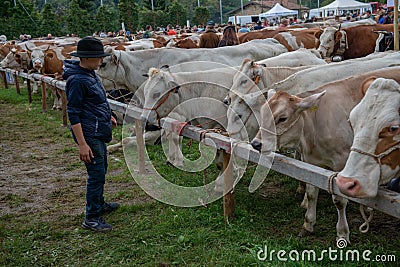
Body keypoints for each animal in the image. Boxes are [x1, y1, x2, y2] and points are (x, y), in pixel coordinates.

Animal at [250, 67, 400, 245]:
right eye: (263, 114)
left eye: (283, 118)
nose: (256, 144)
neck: (314, 129)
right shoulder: (311, 163)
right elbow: (311, 193)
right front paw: (308, 224)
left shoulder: (341, 165)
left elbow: (339, 201)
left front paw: (342, 233)